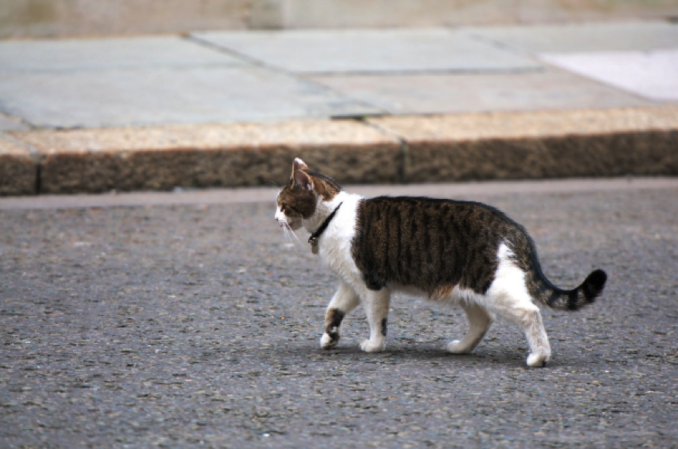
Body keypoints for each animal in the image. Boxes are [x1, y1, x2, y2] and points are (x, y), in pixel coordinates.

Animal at [274, 158, 608, 364]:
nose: (275, 218)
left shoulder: (372, 284)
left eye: (282, 204)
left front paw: (375, 345)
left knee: (530, 313)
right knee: (483, 320)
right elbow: (333, 310)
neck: (334, 215)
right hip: (466, 288)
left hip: (491, 284)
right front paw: (329, 337)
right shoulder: (350, 282)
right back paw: (461, 348)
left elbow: (376, 320)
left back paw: (539, 357)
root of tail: (511, 226)